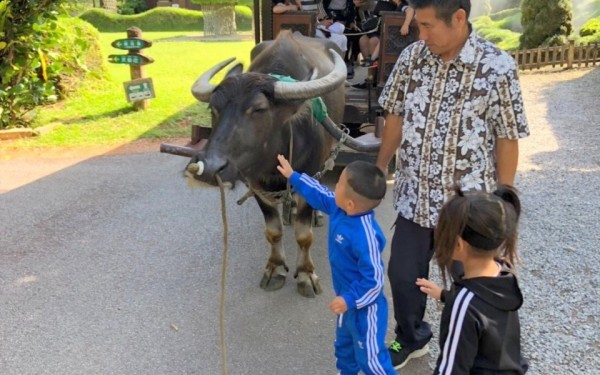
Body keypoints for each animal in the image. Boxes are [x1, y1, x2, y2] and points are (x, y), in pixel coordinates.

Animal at [186, 30, 346, 298]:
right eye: (213, 107)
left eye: (259, 109)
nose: (209, 168)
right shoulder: (256, 183)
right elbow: (273, 231)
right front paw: (276, 268)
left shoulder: (310, 173)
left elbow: (304, 235)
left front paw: (306, 274)